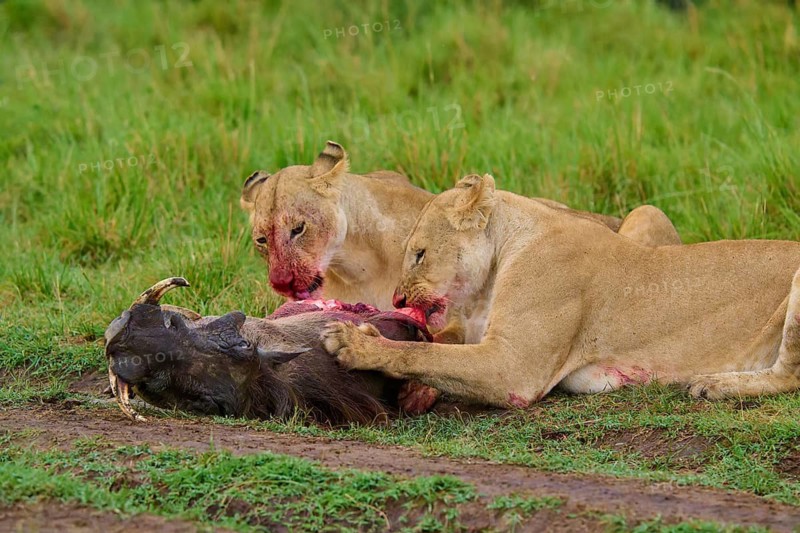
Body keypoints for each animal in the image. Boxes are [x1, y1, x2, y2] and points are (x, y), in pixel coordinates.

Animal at [322, 173, 800, 407]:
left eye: (419, 254)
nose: (398, 301)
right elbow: (437, 345)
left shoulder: (514, 370)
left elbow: (425, 352)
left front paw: (355, 342)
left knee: (790, 376)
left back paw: (714, 385)